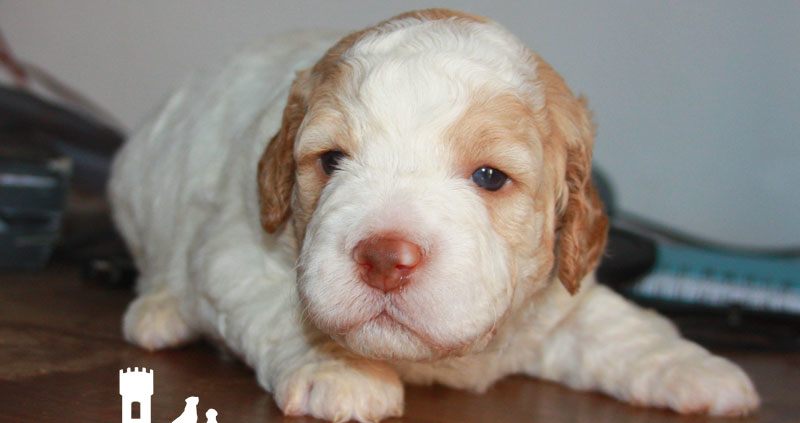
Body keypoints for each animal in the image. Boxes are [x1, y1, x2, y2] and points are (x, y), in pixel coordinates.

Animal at [109, 8, 760, 422]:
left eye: (489, 177)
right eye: (332, 160)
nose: (383, 259)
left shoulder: (558, 300)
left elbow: (619, 327)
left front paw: (699, 371)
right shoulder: (233, 251)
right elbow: (284, 308)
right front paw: (341, 371)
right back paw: (160, 313)